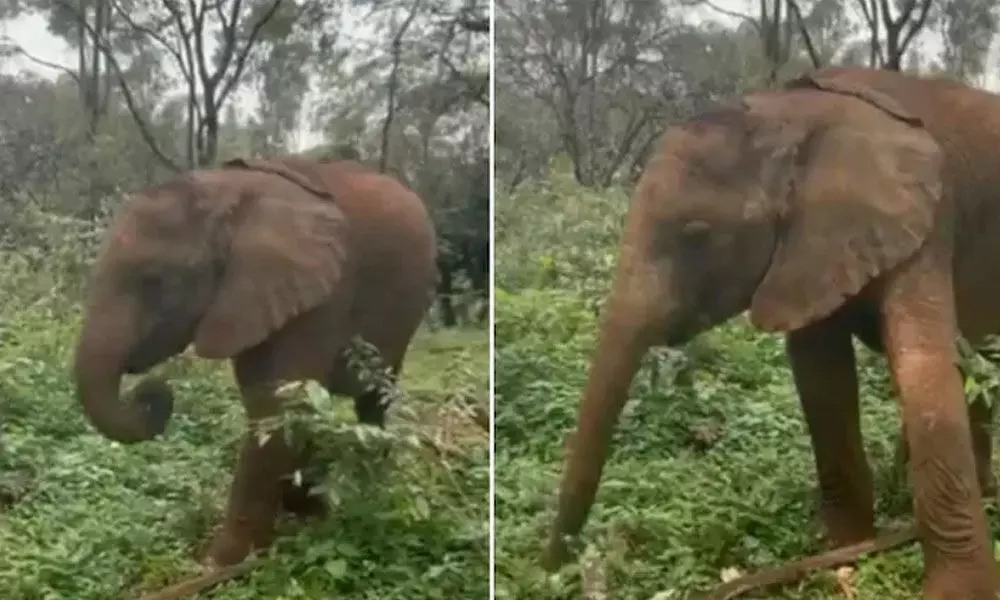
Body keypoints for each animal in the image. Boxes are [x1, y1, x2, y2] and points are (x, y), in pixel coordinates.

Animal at [72, 155, 440, 568]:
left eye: (155, 281)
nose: (150, 393)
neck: (227, 195)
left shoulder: (323, 294)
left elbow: (275, 408)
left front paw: (218, 563)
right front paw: (295, 515)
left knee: (374, 399)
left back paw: (369, 486)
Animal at [548, 65, 1000, 600]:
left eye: (697, 234)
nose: (554, 568)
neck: (789, 114)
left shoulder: (929, 217)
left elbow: (924, 365)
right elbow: (821, 377)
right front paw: (845, 555)